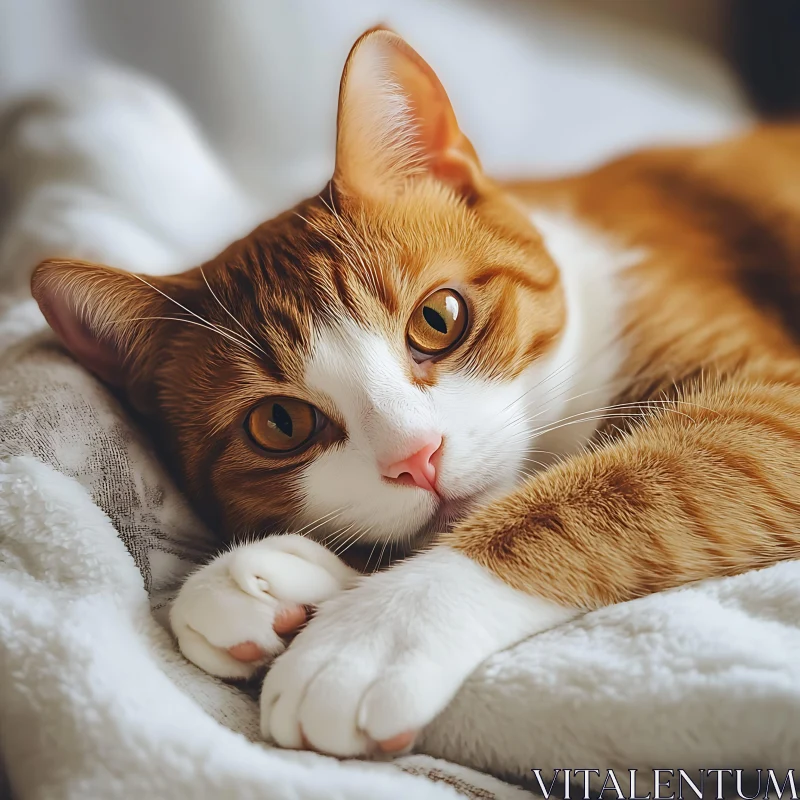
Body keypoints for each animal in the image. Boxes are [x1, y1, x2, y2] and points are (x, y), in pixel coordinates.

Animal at [32, 28, 800, 760]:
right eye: (280, 422)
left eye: (438, 318)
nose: (417, 457)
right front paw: (279, 582)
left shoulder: (771, 402)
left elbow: (607, 491)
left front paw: (374, 631)